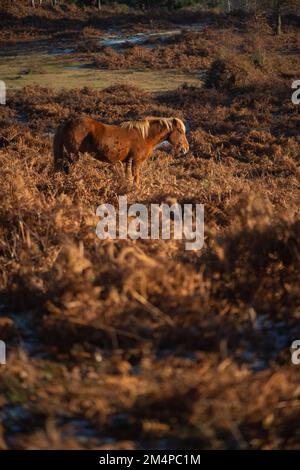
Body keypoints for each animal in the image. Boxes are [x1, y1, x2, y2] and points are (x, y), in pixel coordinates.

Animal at [53, 115, 189, 185]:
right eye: (180, 131)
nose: (185, 149)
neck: (144, 136)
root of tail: (68, 123)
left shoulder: (127, 162)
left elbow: (128, 177)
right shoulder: (136, 162)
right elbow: (136, 178)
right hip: (73, 156)